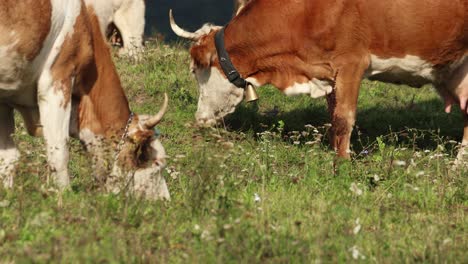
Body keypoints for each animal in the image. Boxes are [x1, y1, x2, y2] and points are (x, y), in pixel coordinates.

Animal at [171, 0, 468, 163]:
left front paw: (343, 163)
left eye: (195, 70)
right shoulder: (328, 71)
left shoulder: (351, 62)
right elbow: (332, 113)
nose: (199, 118)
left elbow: (344, 118)